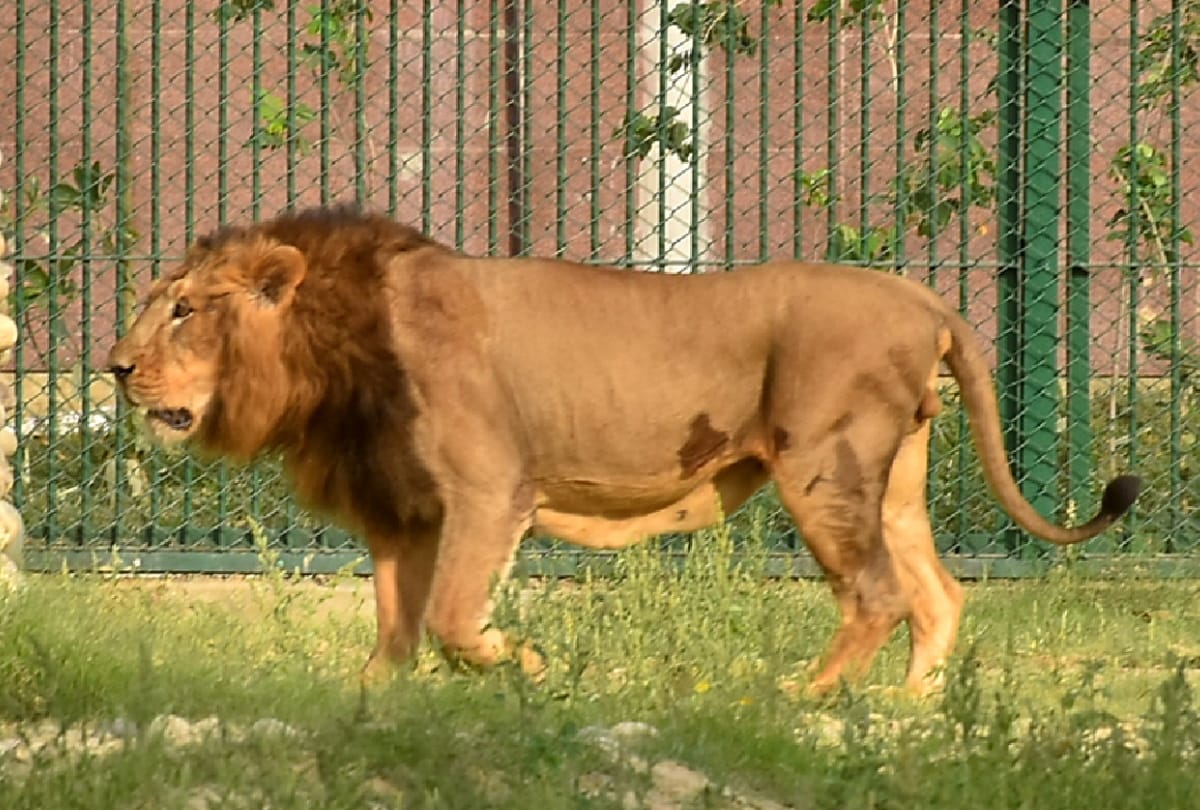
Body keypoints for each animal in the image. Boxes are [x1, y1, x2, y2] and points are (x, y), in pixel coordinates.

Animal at [106, 204, 1140, 695]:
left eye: (185, 310)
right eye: (160, 302)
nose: (113, 368)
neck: (333, 355)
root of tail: (924, 296)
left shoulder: (490, 490)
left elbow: (452, 622)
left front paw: (533, 673)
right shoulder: (400, 515)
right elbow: (397, 635)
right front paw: (372, 706)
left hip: (822, 467)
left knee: (879, 595)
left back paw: (799, 699)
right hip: (892, 485)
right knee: (940, 594)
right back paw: (909, 711)